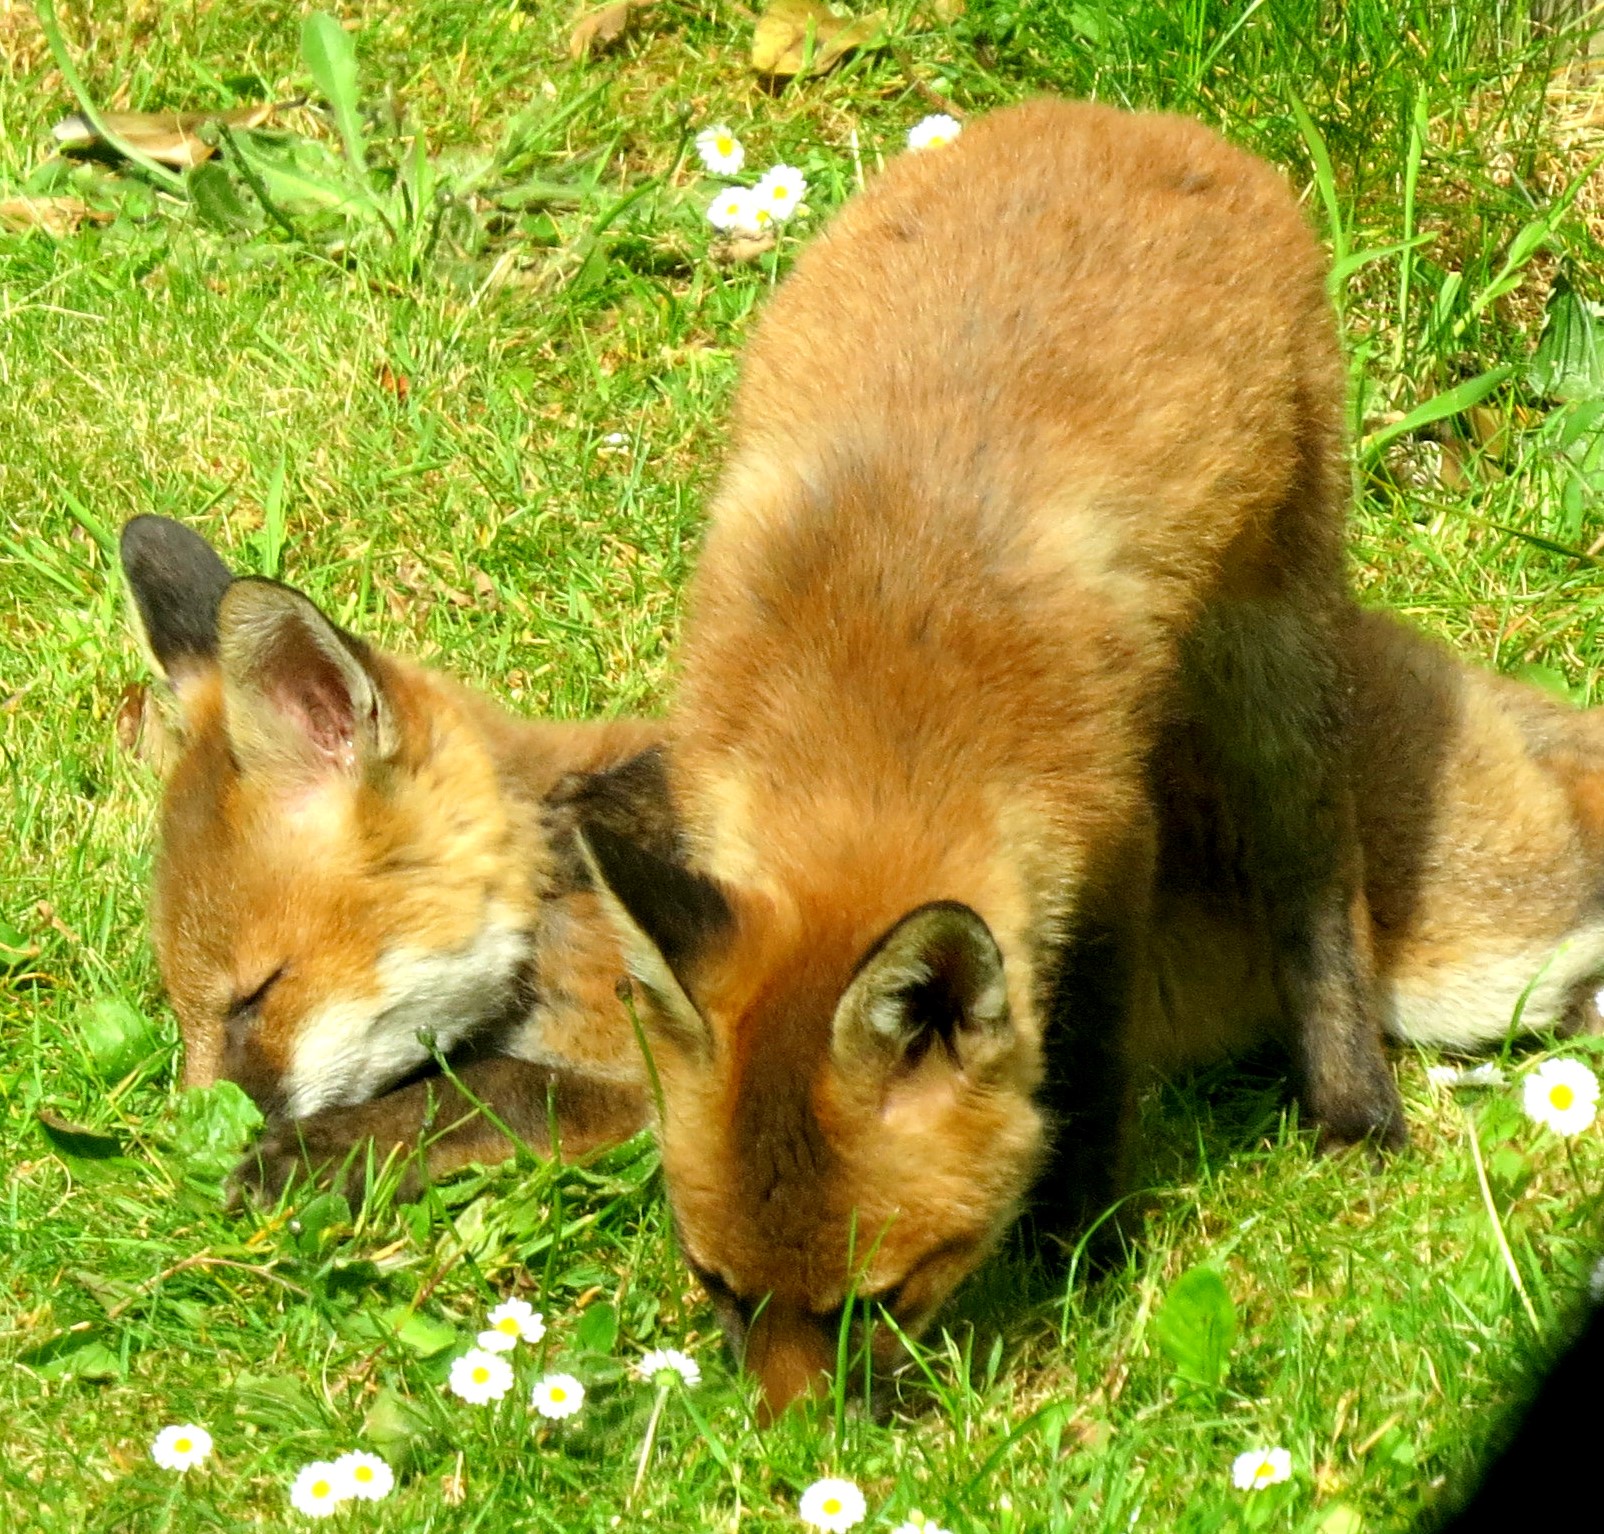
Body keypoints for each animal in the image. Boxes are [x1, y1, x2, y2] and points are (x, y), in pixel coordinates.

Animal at [571, 97, 1403, 1416]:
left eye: (876, 1302)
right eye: (718, 1286)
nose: (791, 1444)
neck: (868, 740)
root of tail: (1124, 117)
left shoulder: (1105, 846)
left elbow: (1082, 1074)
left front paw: (1079, 1253)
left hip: (1274, 653)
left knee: (1317, 878)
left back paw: (1352, 1100)